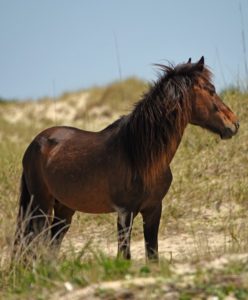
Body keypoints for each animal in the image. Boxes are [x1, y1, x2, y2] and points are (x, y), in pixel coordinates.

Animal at [13, 56, 238, 260]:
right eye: (211, 90)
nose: (234, 124)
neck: (140, 157)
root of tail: (36, 143)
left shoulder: (153, 209)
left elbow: (152, 255)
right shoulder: (124, 213)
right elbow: (124, 256)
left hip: (64, 209)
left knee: (50, 247)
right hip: (40, 207)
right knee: (34, 245)